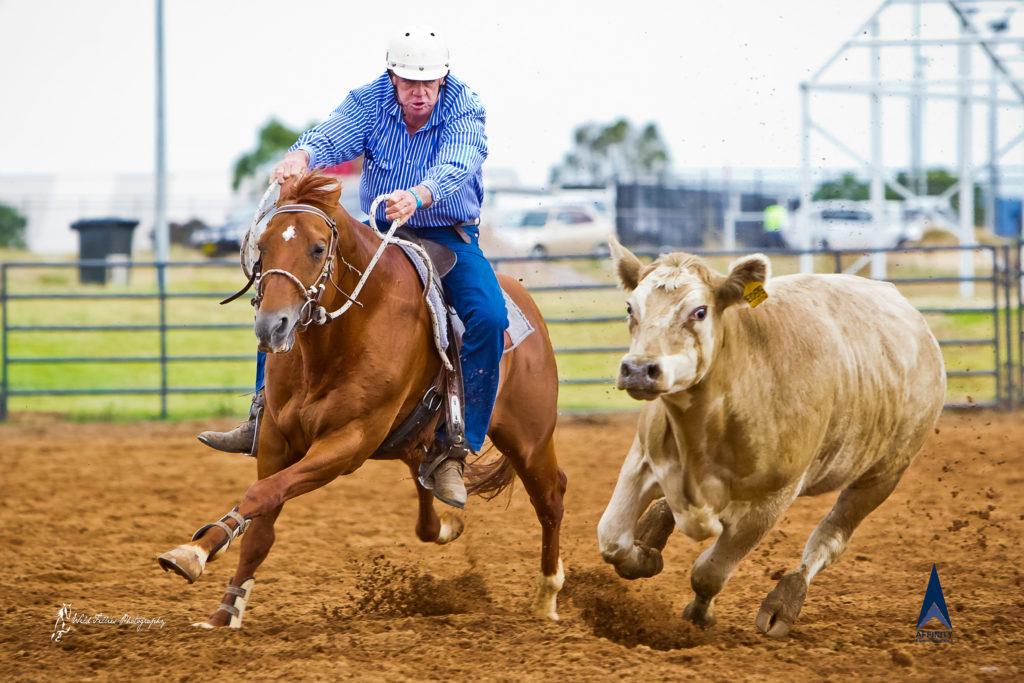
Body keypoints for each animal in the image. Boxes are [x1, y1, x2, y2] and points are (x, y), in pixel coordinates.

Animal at [157, 174, 569, 626]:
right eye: (262, 245)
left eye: (318, 247)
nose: (271, 326)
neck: (343, 337)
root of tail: (527, 307)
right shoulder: (276, 438)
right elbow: (262, 523)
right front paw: (223, 610)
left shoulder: (346, 444)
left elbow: (261, 494)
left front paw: (193, 553)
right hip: (416, 440)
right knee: (426, 491)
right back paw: (448, 518)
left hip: (529, 439)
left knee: (551, 497)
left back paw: (548, 597)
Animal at [598, 240, 942, 634]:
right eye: (630, 307)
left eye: (699, 311)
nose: (639, 369)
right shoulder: (642, 460)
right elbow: (612, 538)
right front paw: (643, 555)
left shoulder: (772, 498)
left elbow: (709, 572)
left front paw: (700, 613)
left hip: (883, 475)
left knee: (829, 538)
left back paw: (784, 602)